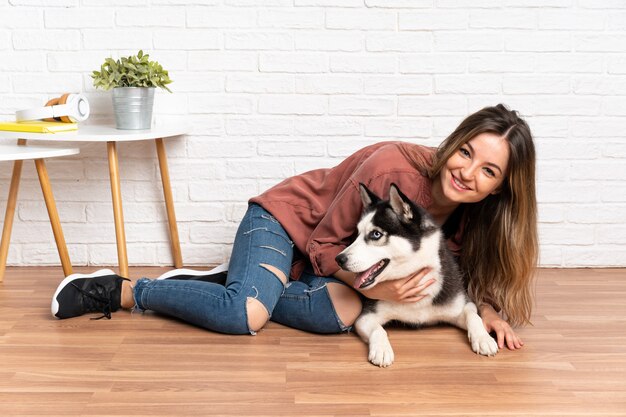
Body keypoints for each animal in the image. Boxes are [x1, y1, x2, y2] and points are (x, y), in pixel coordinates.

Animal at [334, 184, 494, 366]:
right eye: (357, 234)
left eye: (376, 234)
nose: (339, 259)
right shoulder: (365, 317)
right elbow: (378, 330)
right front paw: (382, 349)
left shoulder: (460, 306)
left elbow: (473, 315)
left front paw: (484, 338)